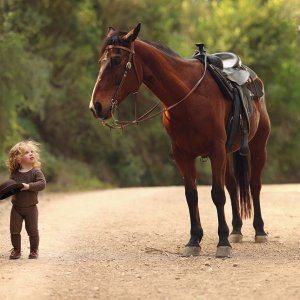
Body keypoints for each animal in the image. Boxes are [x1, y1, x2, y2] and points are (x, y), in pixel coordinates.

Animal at [89, 24, 272, 258]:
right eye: (101, 61)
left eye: (116, 61)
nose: (96, 106)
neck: (190, 97)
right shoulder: (183, 155)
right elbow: (191, 195)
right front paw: (194, 240)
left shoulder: (216, 152)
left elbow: (217, 194)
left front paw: (222, 242)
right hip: (230, 151)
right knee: (233, 186)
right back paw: (236, 230)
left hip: (258, 147)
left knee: (254, 185)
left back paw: (259, 230)